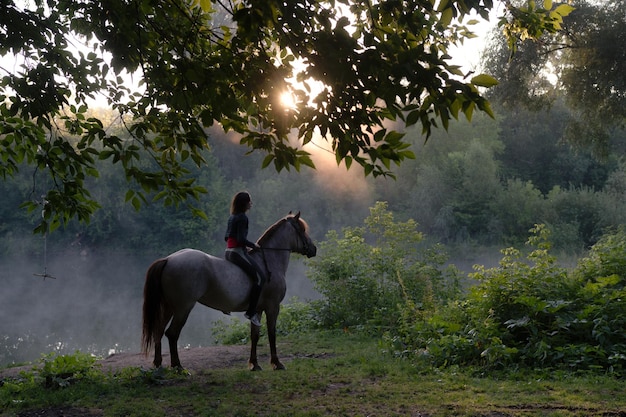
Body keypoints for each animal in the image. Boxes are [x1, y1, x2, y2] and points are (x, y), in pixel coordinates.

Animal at [142, 211, 316, 370]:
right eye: (302, 230)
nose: (313, 249)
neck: (269, 261)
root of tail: (168, 259)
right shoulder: (272, 307)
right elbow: (272, 334)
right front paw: (276, 363)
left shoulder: (257, 310)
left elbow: (255, 335)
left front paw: (254, 364)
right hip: (183, 308)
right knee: (172, 334)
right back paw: (178, 367)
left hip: (169, 307)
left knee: (158, 330)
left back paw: (158, 364)